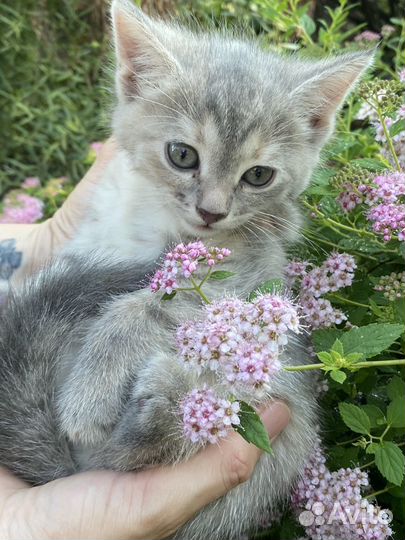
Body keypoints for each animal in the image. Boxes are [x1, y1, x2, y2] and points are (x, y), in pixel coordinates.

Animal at [0, 2, 370, 536]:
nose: (212, 212)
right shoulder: (88, 240)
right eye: (182, 154)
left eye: (259, 175)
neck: (161, 228)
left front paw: (91, 389)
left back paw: (166, 405)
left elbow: (161, 304)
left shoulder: (250, 274)